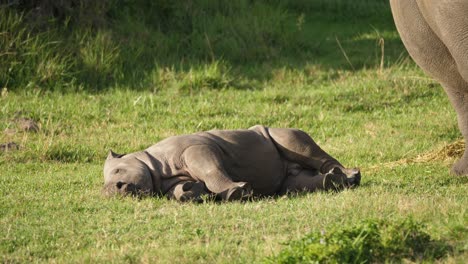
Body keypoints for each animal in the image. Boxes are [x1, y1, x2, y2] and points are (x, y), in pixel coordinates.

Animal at [102, 125, 360, 201]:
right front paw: (192, 193)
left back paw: (351, 176)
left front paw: (236, 192)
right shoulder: (170, 179)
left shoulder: (196, 149)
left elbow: (210, 169)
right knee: (293, 184)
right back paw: (333, 181)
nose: (113, 190)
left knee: (292, 140)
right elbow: (180, 190)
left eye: (118, 172)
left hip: (277, 133)